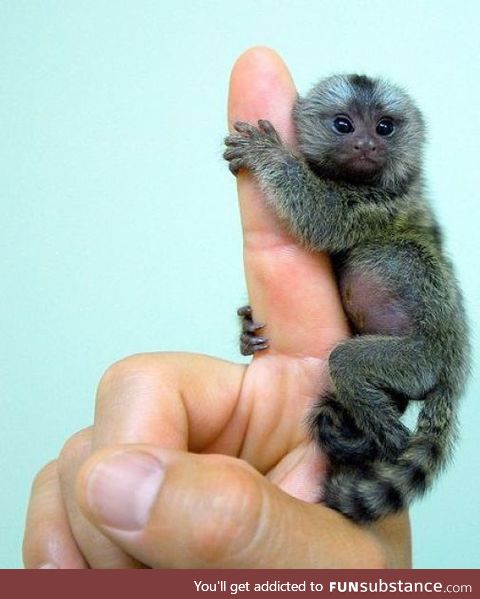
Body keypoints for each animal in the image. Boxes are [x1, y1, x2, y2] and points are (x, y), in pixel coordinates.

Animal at [224, 75, 468, 524]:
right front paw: (247, 328)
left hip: (419, 361)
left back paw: (382, 437)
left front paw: (269, 154)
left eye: (384, 128)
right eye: (344, 125)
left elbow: (322, 218)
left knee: (349, 362)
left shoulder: (382, 203)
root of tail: (454, 373)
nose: (366, 145)